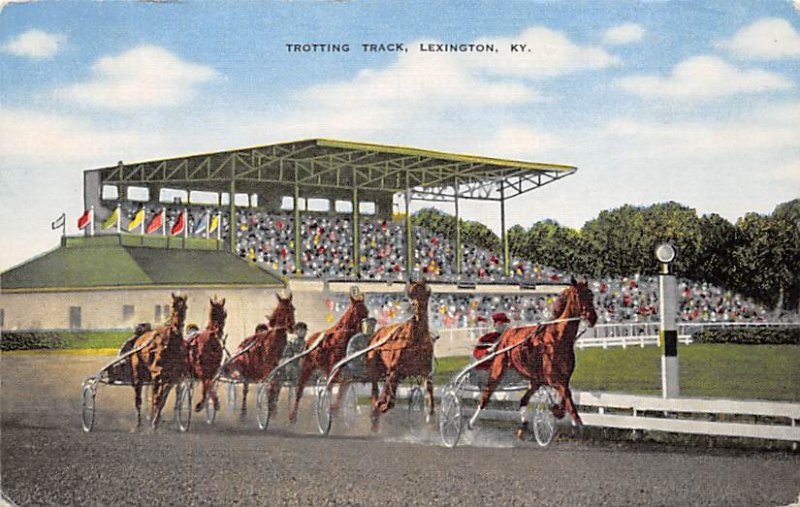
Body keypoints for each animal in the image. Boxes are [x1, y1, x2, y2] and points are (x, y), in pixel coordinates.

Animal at [130, 294, 190, 428]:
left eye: (185, 307)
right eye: (173, 306)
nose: (178, 326)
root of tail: (139, 339)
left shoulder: (173, 378)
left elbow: (162, 399)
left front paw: (156, 420)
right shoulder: (157, 373)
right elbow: (157, 398)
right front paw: (153, 422)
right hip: (137, 374)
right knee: (138, 397)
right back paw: (138, 423)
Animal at [288, 292, 368, 426]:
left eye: (367, 311)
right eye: (358, 311)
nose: (364, 330)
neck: (342, 339)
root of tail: (309, 341)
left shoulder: (346, 372)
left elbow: (342, 391)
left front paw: (335, 410)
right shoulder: (334, 370)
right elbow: (334, 388)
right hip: (307, 368)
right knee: (300, 390)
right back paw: (293, 416)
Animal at [364, 282, 434, 432]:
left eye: (424, 296)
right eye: (411, 295)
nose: (416, 310)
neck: (416, 340)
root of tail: (376, 334)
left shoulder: (425, 370)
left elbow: (430, 389)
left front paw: (430, 414)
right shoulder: (395, 370)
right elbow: (388, 398)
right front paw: (382, 406)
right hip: (376, 368)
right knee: (376, 390)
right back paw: (376, 414)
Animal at [468, 278, 592, 440]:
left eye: (591, 295)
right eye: (578, 295)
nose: (593, 318)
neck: (558, 338)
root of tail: (507, 332)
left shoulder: (562, 378)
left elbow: (565, 396)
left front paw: (559, 411)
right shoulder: (553, 379)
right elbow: (567, 396)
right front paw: (577, 424)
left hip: (534, 380)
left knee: (523, 400)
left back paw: (523, 426)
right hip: (498, 369)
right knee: (486, 395)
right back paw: (471, 423)